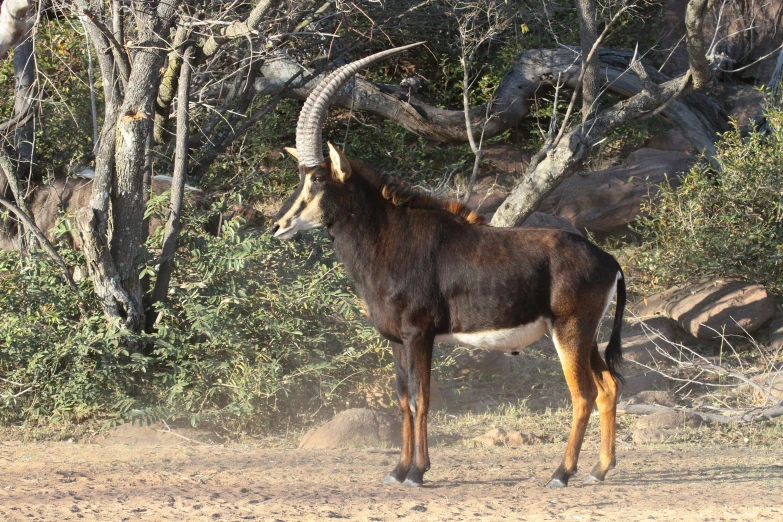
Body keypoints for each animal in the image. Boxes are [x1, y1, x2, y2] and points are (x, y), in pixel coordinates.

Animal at [272, 42, 628, 486]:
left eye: (318, 179)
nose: (278, 225)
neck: (389, 236)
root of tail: (609, 261)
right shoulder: (397, 341)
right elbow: (403, 402)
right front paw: (397, 470)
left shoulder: (419, 335)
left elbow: (421, 401)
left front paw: (417, 472)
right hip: (586, 335)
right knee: (608, 388)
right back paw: (599, 470)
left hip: (570, 331)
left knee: (583, 395)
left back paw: (561, 473)